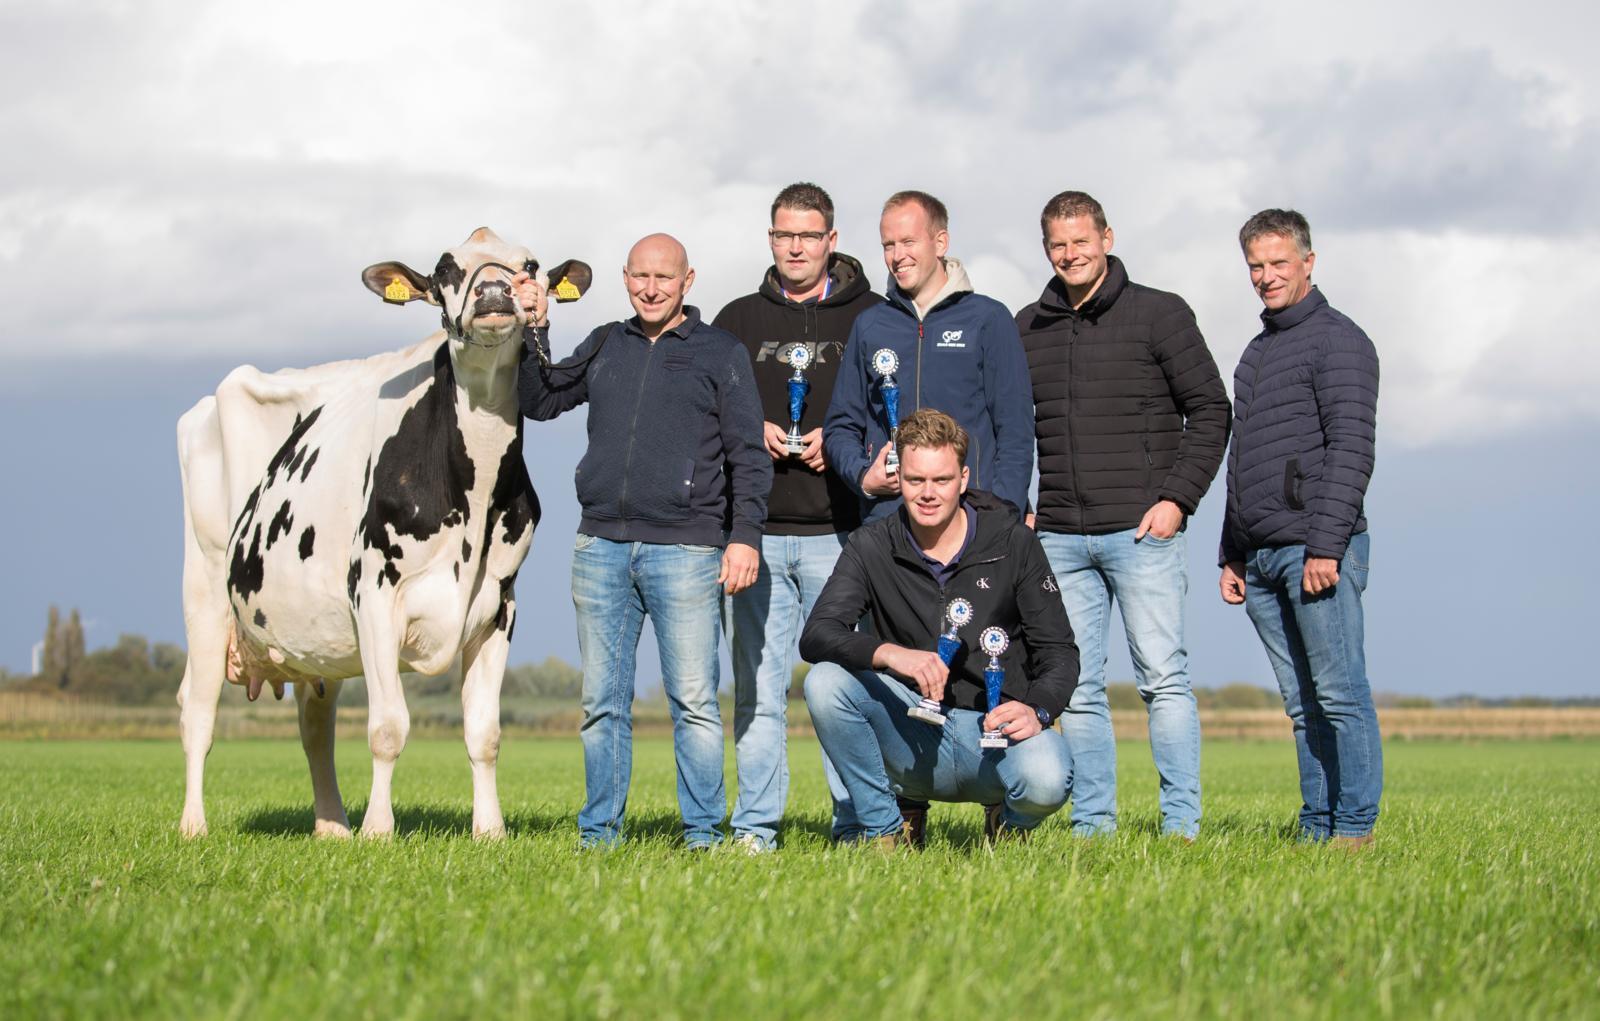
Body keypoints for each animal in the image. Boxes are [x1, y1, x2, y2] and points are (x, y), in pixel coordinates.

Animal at [176, 230, 588, 838]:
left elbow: (485, 734)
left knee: (314, 724)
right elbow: (388, 727)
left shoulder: (500, 606)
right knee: (197, 712)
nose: (493, 290)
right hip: (204, 589)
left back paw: (331, 827)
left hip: (313, 637)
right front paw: (378, 830)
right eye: (444, 269)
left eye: (530, 265)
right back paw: (194, 825)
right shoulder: (373, 593)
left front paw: (489, 831)